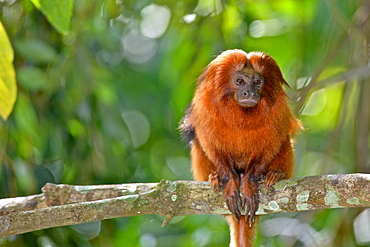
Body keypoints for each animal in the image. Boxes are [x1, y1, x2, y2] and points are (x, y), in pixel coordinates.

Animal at [180, 49, 304, 246]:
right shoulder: (205, 104)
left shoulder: (278, 108)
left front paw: (248, 184)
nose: (249, 93)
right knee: (199, 144)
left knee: (284, 140)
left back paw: (275, 175)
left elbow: (272, 144)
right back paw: (215, 178)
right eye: (239, 81)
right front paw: (230, 183)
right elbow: (209, 144)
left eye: (257, 82)